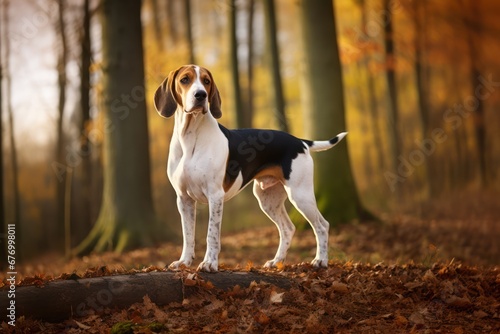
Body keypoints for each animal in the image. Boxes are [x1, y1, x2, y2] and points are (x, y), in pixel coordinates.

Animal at [154, 64, 346, 272]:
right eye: (185, 79)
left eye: (206, 81)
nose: (201, 95)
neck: (190, 136)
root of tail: (300, 142)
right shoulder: (184, 199)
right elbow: (188, 235)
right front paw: (184, 261)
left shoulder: (215, 196)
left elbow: (211, 234)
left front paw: (209, 263)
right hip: (267, 199)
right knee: (288, 228)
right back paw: (276, 262)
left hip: (300, 195)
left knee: (322, 225)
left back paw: (321, 260)